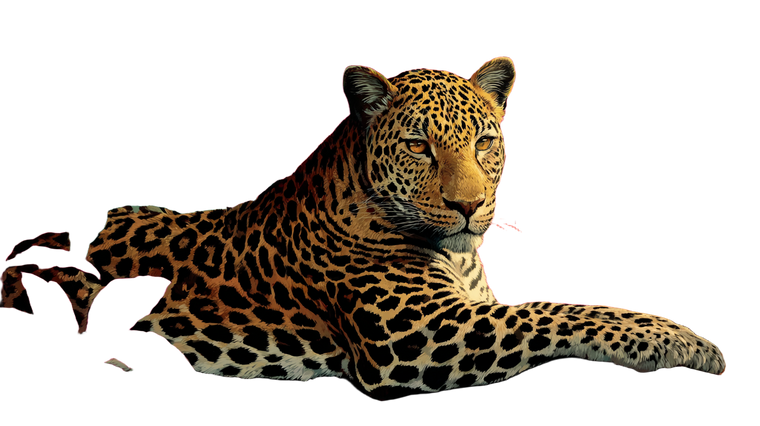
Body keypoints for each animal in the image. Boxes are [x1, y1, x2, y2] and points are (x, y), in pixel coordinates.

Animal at [0, 54, 728, 395]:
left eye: (485, 142)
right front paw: (682, 342)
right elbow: (554, 310)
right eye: (419, 147)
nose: (470, 206)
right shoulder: (421, 337)